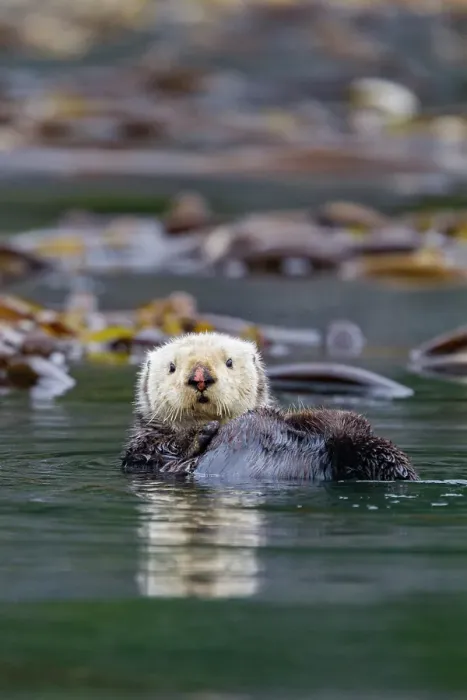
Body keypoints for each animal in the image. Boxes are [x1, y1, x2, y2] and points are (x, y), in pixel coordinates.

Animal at [121, 332, 417, 482]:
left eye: (229, 362)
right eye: (171, 367)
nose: (200, 377)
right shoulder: (142, 451)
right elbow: (160, 455)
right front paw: (201, 433)